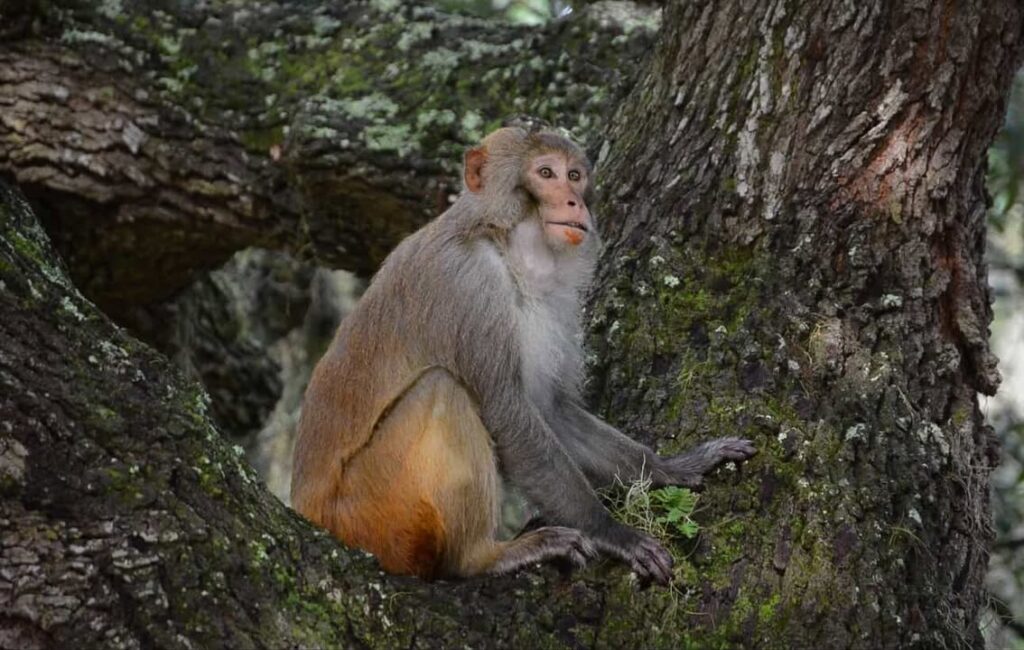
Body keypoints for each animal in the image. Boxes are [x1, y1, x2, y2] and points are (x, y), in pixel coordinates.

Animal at [290, 125, 756, 585]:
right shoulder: (469, 281)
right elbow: (505, 407)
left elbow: (548, 408)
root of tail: (314, 514)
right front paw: (611, 531)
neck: (505, 244)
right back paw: (481, 557)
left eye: (573, 175)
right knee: (443, 390)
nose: (573, 201)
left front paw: (668, 468)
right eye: (545, 173)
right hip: (375, 514)